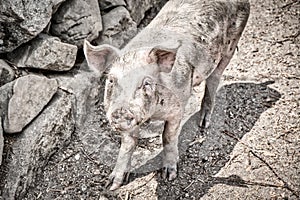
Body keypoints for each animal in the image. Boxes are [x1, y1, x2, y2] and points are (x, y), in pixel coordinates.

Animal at [83, 0, 250, 190]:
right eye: (111, 80)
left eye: (146, 83)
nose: (121, 112)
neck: (153, 115)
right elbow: (127, 145)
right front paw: (112, 184)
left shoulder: (177, 109)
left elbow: (168, 137)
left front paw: (169, 176)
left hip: (231, 44)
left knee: (215, 78)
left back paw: (203, 123)